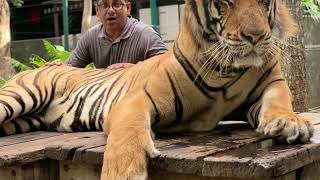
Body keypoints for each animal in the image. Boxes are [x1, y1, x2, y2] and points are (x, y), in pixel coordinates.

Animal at [0, 0, 316, 179]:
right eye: (225, 3)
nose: (255, 36)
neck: (225, 69)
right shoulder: (135, 100)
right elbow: (127, 137)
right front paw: (125, 170)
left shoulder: (269, 85)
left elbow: (279, 101)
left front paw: (289, 122)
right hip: (20, 97)